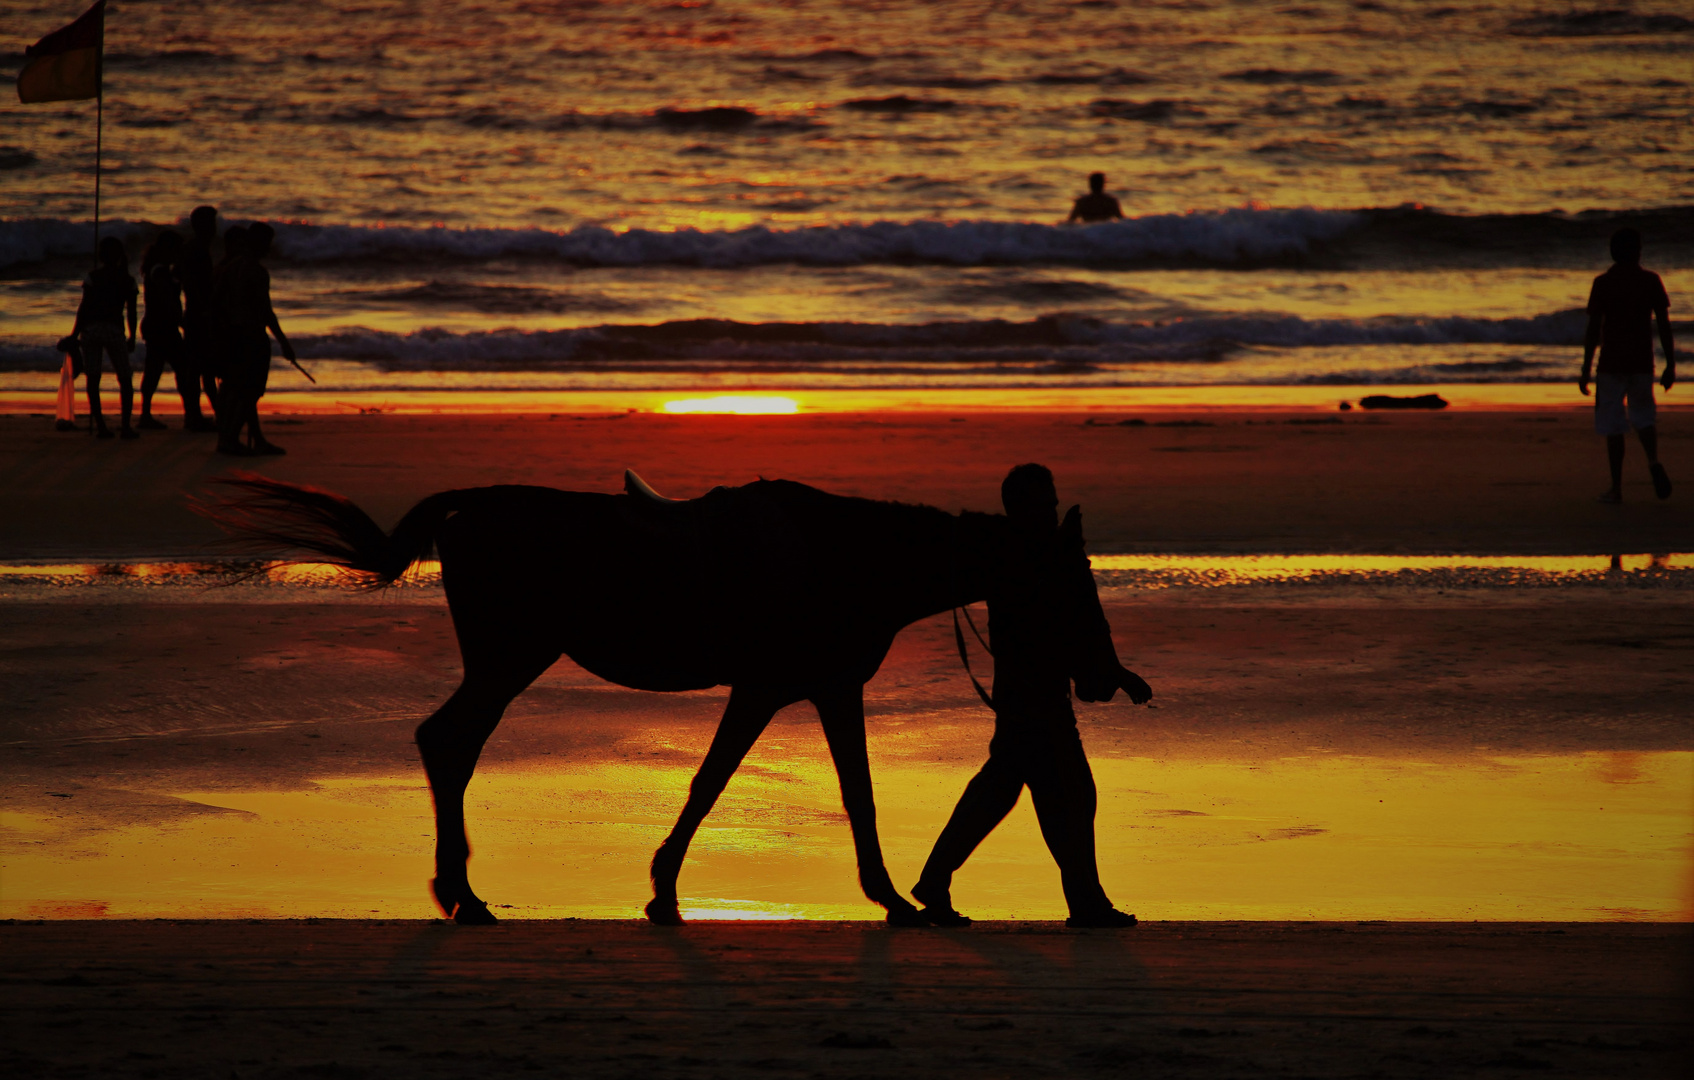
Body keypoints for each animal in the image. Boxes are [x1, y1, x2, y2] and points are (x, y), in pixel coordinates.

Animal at [208, 473, 1138, 934]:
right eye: (1074, 584)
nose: (1104, 678)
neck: (844, 554)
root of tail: (470, 508)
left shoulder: (810, 687)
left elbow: (802, 789)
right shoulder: (782, 686)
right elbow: (750, 787)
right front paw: (893, 900)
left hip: (509, 660)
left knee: (449, 744)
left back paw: (462, 891)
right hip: (511, 658)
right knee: (448, 743)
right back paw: (462, 894)